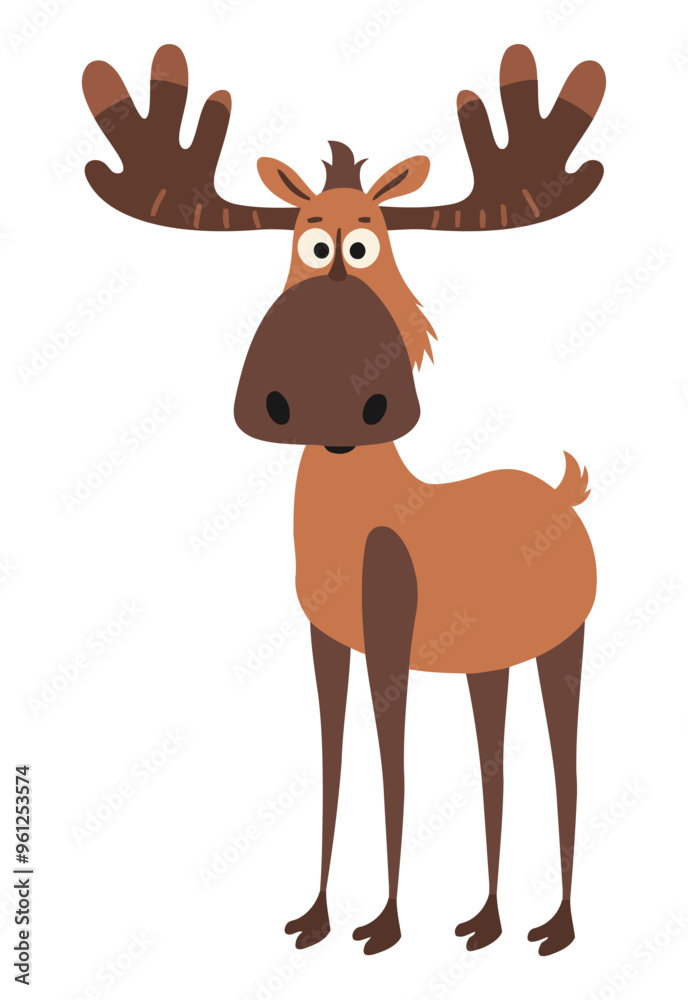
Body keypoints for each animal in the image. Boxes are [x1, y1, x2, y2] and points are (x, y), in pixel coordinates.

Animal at [82, 42, 605, 956]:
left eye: (366, 247)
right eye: (309, 244)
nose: (322, 397)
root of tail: (563, 494)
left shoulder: (390, 633)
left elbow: (392, 763)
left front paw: (385, 924)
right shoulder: (326, 635)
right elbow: (333, 758)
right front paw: (317, 915)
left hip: (564, 641)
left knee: (563, 766)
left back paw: (557, 928)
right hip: (489, 658)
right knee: (495, 763)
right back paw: (486, 921)